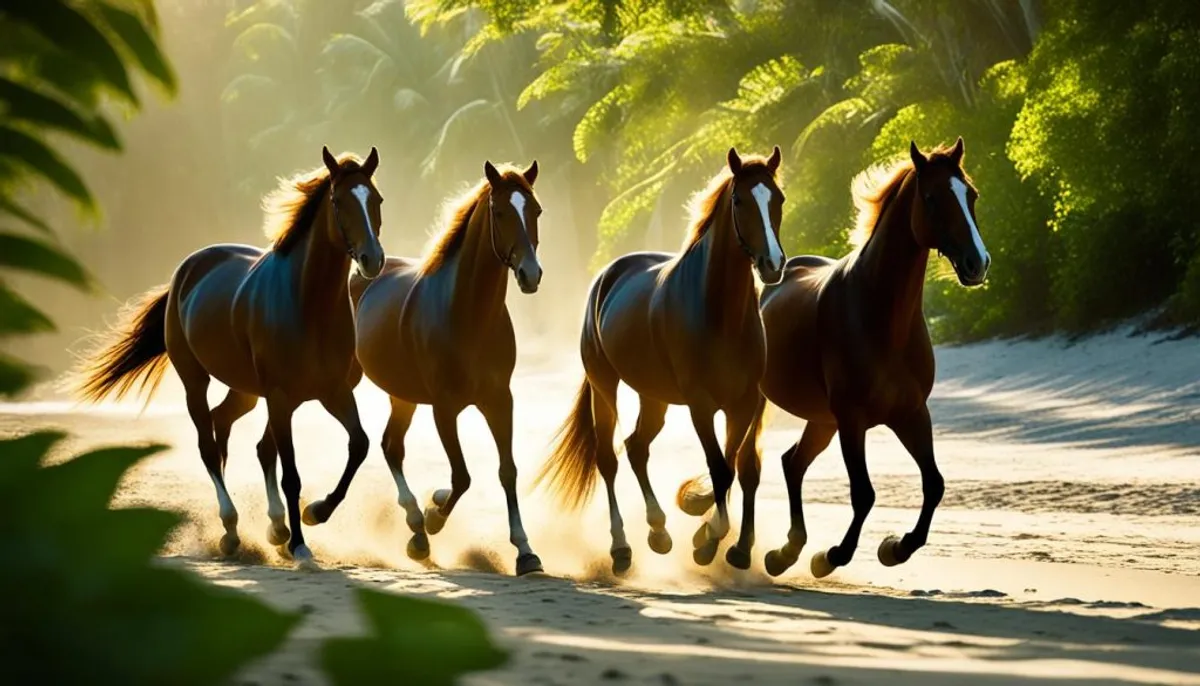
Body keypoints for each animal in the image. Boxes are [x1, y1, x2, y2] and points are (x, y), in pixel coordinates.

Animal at [70, 146, 386, 568]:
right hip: (196, 382)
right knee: (208, 444)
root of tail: (186, 271)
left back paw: (271, 528)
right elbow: (291, 474)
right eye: (338, 201)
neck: (306, 303)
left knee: (232, 431)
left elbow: (359, 445)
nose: (372, 260)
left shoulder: (332, 392)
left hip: (249, 392)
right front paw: (301, 545)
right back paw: (232, 530)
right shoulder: (281, 397)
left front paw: (314, 513)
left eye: (376, 199)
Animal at [350, 163, 547, 575]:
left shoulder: (499, 402)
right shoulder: (444, 408)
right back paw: (418, 530)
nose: (530, 274)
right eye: (500, 212)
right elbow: (462, 476)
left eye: (536, 211)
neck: (468, 315)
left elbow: (507, 470)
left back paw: (416, 530)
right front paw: (435, 512)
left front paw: (526, 552)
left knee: (391, 446)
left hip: (402, 397)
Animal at [537, 147, 787, 575]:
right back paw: (622, 548)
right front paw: (708, 537)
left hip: (654, 397)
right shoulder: (701, 404)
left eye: (779, 200)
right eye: (740, 200)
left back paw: (659, 531)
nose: (773, 264)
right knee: (609, 458)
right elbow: (720, 466)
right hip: (605, 386)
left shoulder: (745, 403)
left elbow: (740, 467)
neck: (720, 314)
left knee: (637, 447)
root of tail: (608, 276)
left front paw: (724, 541)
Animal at [681, 136, 988, 575]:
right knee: (746, 466)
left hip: (820, 419)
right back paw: (733, 546)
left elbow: (934, 484)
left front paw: (896, 547)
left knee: (790, 463)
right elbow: (864, 493)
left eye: (970, 195)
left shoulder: (911, 414)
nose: (977, 263)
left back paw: (783, 552)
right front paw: (832, 556)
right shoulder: (852, 419)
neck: (880, 316)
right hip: (768, 405)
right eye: (932, 198)